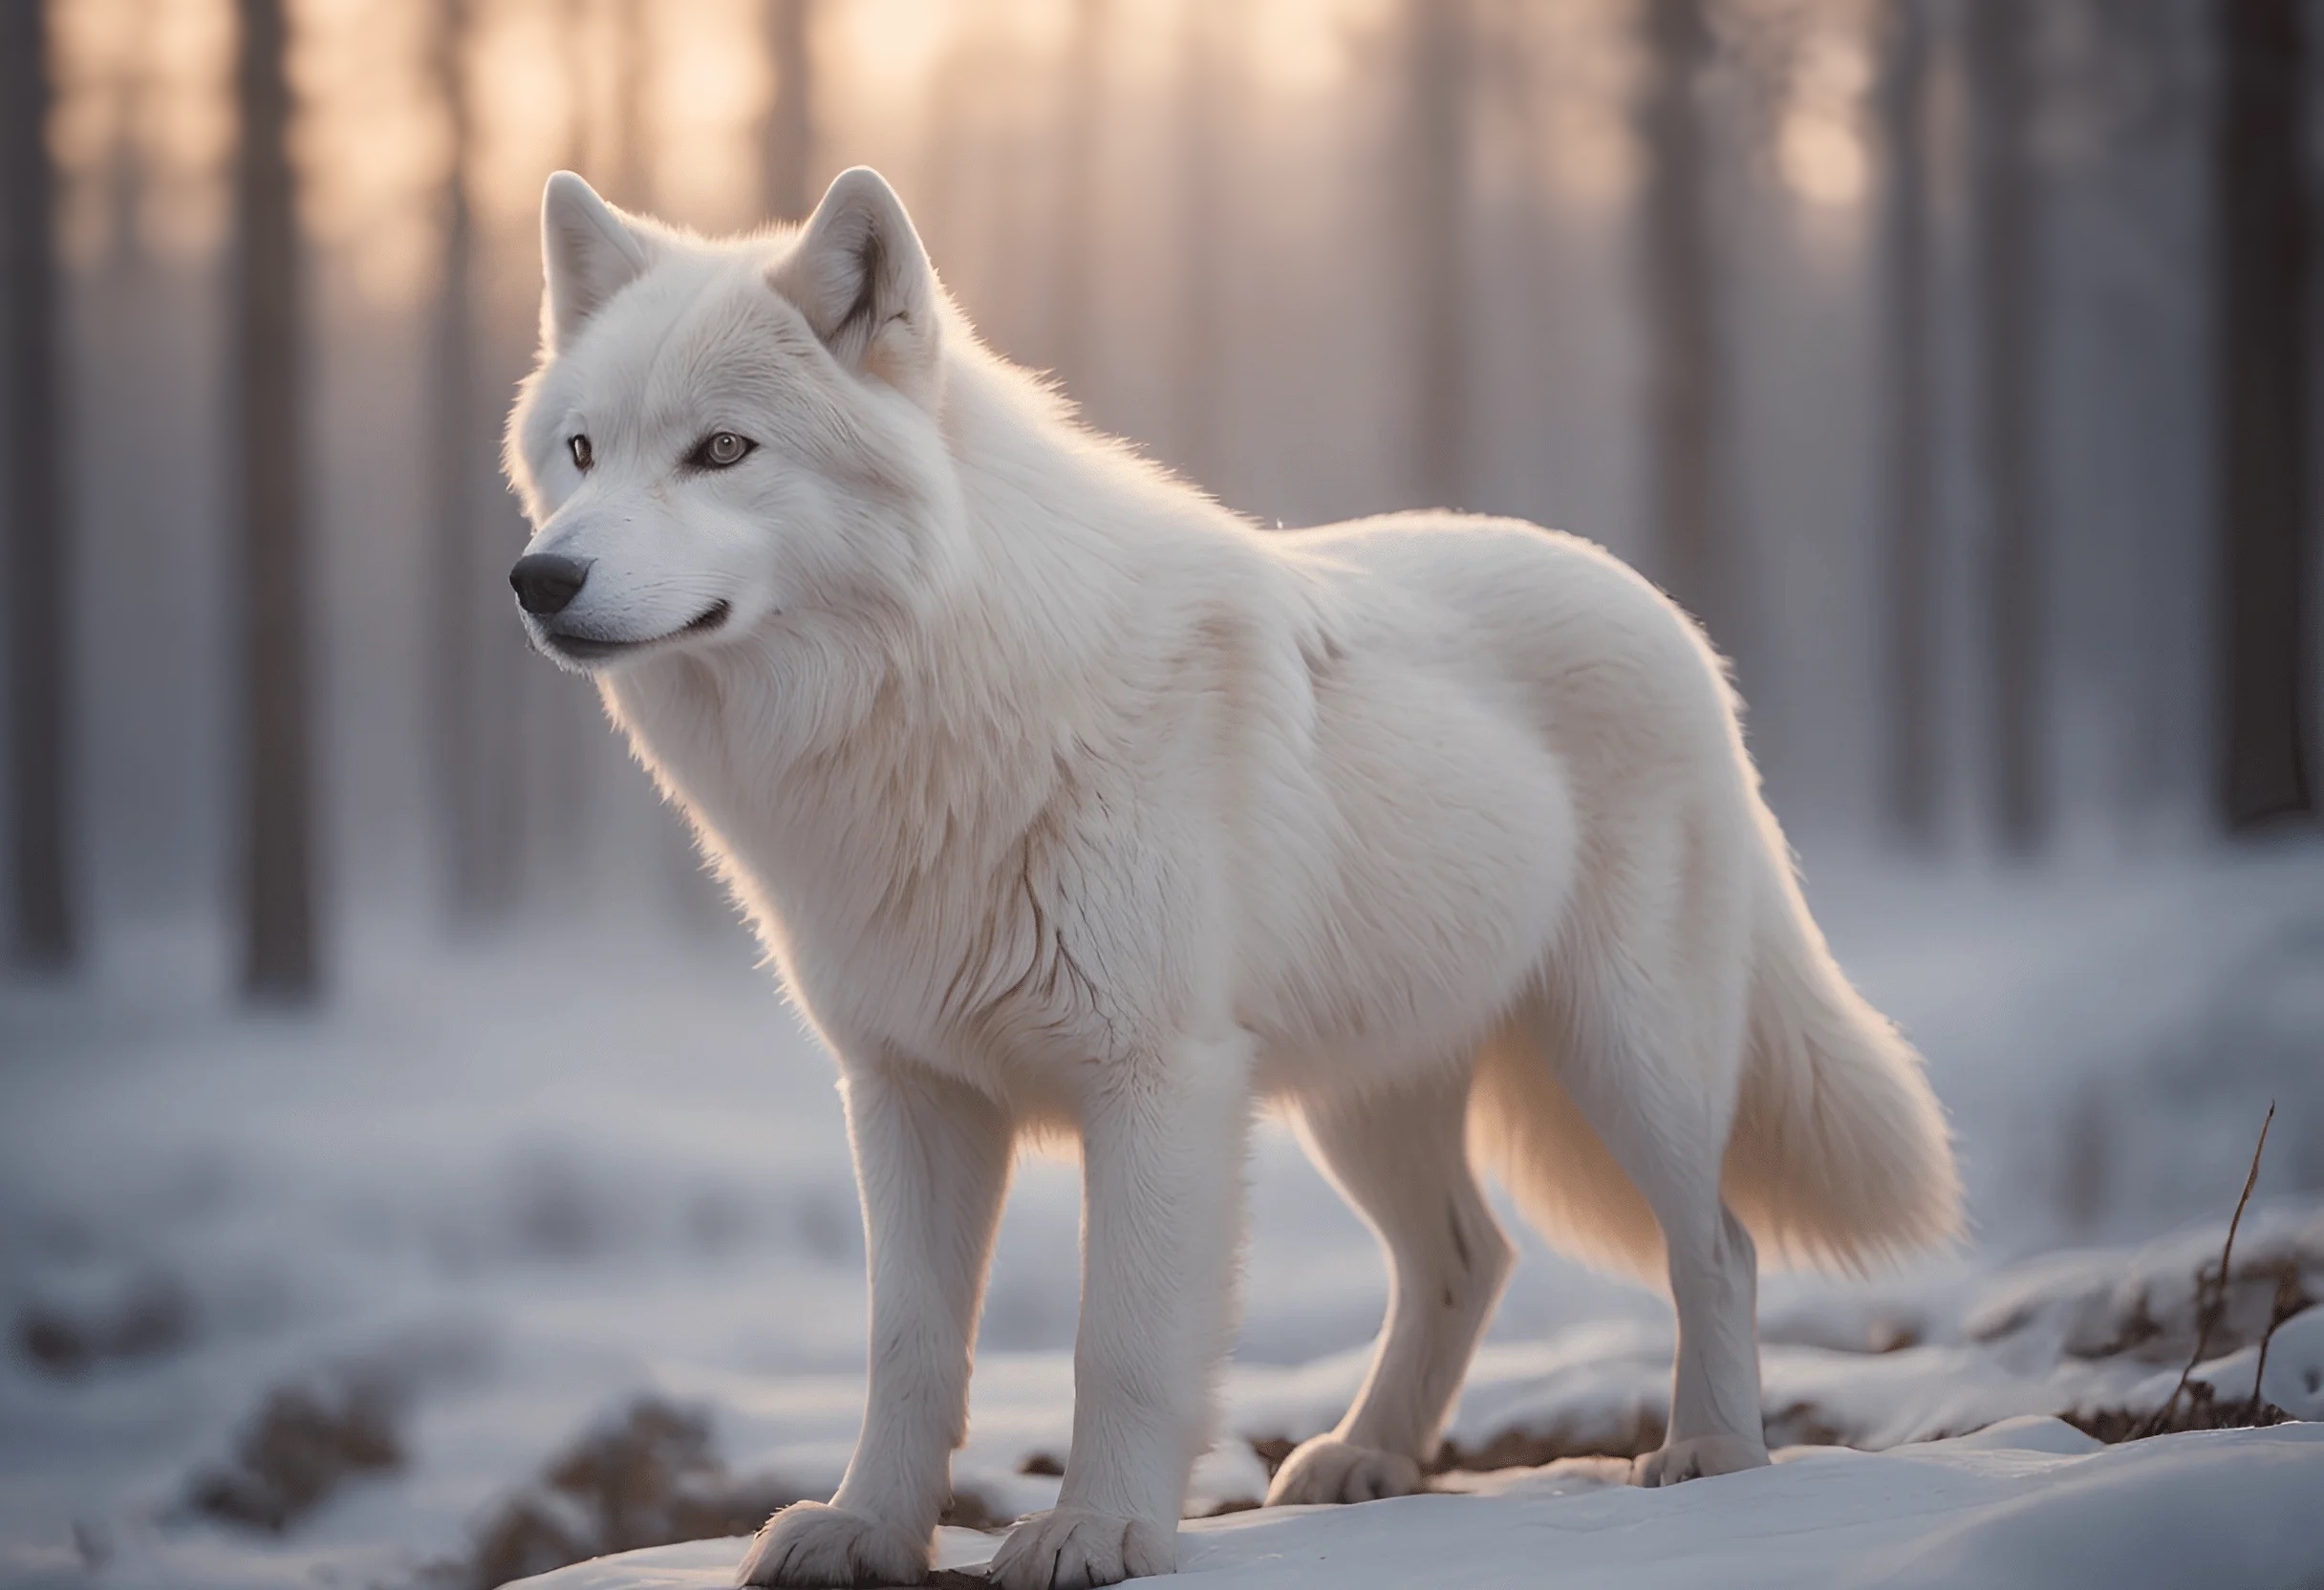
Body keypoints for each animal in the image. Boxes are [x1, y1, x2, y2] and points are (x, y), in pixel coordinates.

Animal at [502, 166, 1960, 1590]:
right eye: (581, 452)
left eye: (722, 450)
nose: (538, 575)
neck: (936, 710)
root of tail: (1673, 620)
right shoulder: (909, 1095)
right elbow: (906, 1347)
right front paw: (865, 1529)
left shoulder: (1157, 1084)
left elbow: (1121, 1343)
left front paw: (1099, 1534)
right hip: (1365, 1100)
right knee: (1468, 1255)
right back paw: (1366, 1457)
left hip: (1625, 1055)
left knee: (1717, 1241)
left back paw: (1714, 1454)